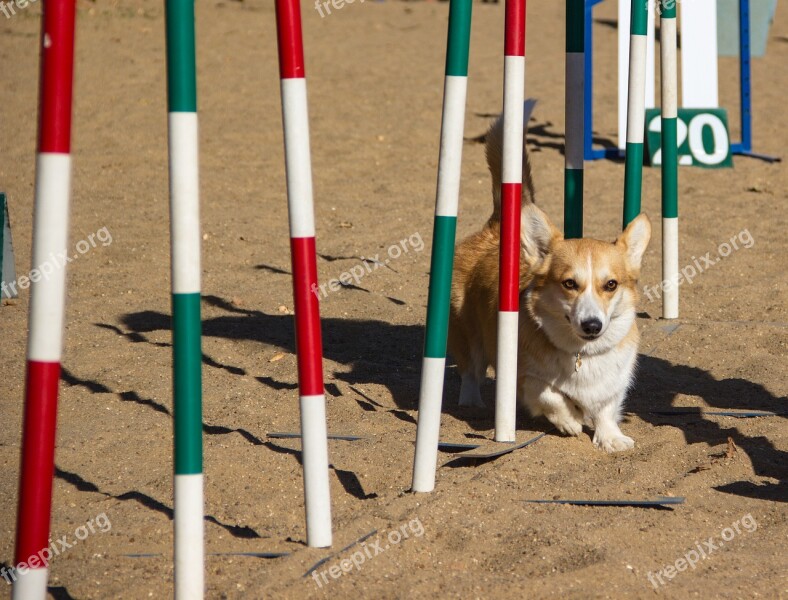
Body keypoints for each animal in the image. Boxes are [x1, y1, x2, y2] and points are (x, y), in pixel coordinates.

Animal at [446, 110, 648, 452]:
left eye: (610, 285)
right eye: (569, 284)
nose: (592, 325)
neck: (582, 354)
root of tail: (495, 227)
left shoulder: (614, 383)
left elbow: (607, 408)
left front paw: (611, 438)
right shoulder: (525, 377)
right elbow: (550, 395)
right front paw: (570, 420)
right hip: (468, 333)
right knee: (471, 371)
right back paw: (471, 402)